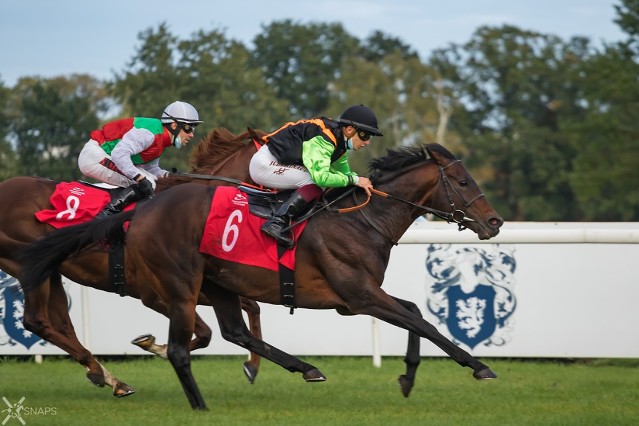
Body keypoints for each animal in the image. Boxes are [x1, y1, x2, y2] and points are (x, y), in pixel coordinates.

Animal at [0, 126, 262, 396]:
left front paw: (252, 366)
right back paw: (104, 374)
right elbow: (206, 332)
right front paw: (157, 347)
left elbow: (251, 307)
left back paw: (105, 375)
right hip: (27, 266)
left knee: (62, 324)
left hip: (50, 271)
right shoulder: (155, 295)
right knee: (36, 321)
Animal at [18, 143, 504, 410]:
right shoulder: (359, 295)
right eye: (463, 182)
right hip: (179, 284)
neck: (361, 219)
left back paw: (304, 368)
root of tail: (142, 210)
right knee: (178, 345)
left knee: (233, 331)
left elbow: (415, 312)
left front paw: (407, 377)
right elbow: (423, 321)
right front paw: (479, 367)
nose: (495, 222)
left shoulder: (354, 301)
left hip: (217, 284)